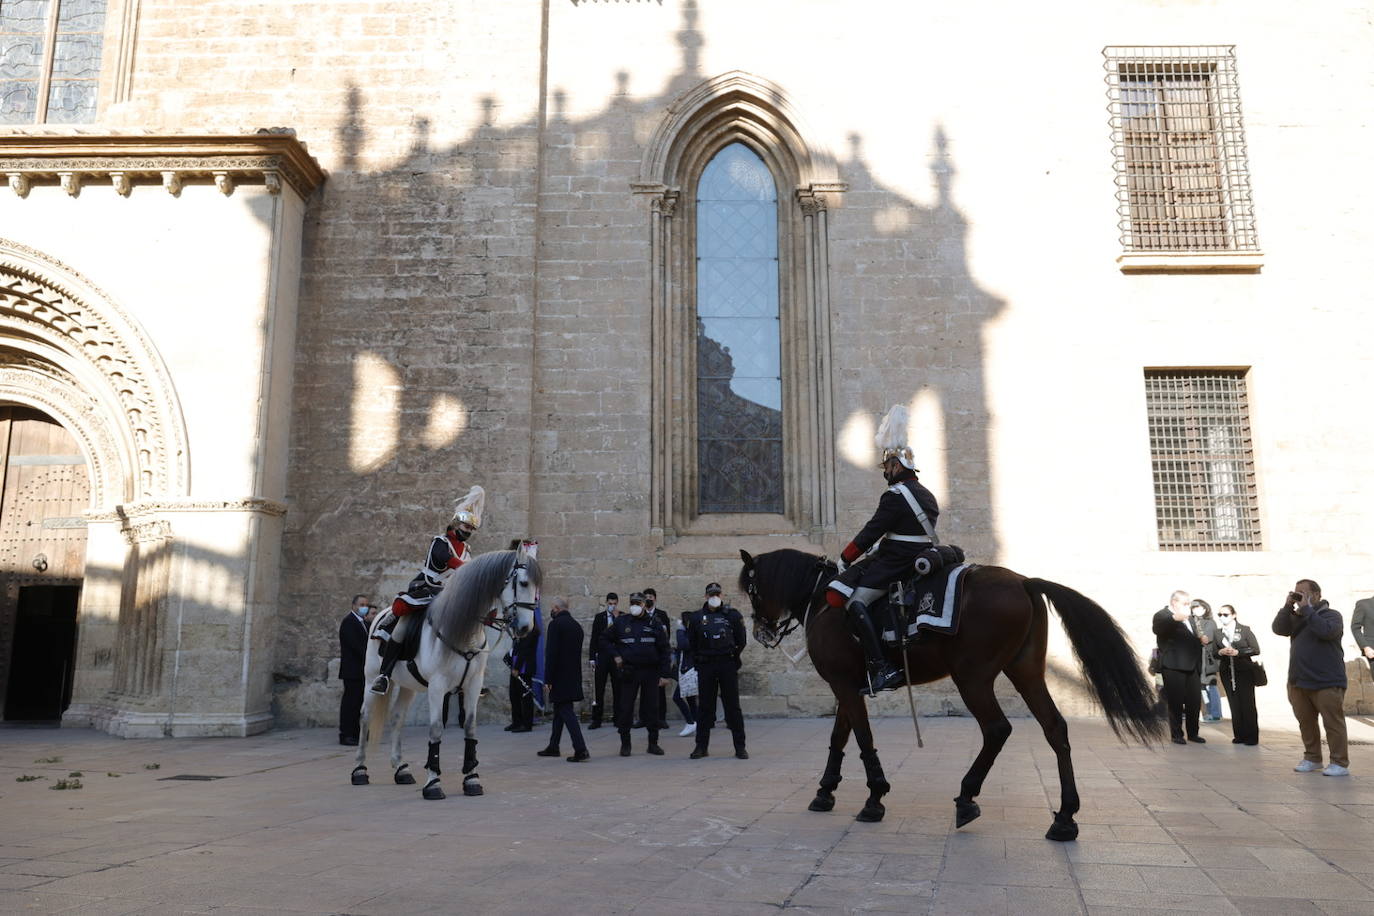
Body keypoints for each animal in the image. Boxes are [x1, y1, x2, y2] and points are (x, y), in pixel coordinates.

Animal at [351, 549, 538, 796]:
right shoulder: (437, 686)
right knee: (365, 716)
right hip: (372, 677)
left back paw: (401, 768)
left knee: (397, 718)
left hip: (408, 686)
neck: (463, 630)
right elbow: (436, 730)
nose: (526, 628)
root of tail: (380, 615)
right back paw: (359, 770)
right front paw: (433, 782)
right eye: (524, 583)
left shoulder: (472, 684)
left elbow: (470, 728)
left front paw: (471, 779)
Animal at [741, 549, 1159, 840]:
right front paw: (825, 791)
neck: (823, 601)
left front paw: (874, 797)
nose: (760, 631)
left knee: (997, 729)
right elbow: (840, 737)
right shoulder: (848, 685)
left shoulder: (843, 684)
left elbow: (861, 738)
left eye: (751, 588)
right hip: (1025, 671)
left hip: (972, 677)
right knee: (1055, 729)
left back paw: (967, 797)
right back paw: (1065, 818)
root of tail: (1024, 582)